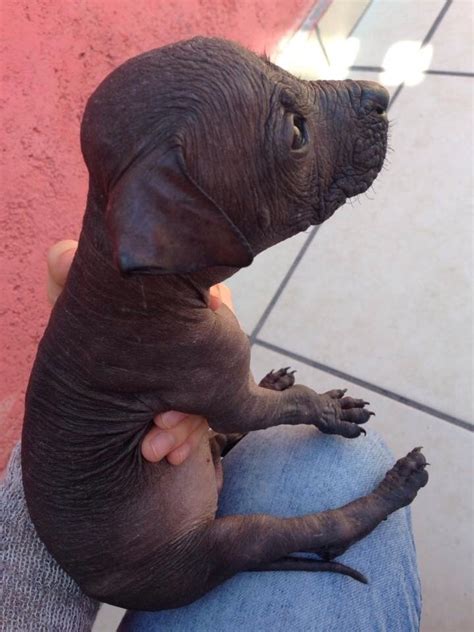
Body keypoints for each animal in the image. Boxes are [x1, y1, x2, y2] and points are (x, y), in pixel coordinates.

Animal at [21, 37, 430, 608]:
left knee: (226, 439)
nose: (379, 95)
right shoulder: (219, 388)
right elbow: (292, 406)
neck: (143, 289)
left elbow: (266, 407)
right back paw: (394, 487)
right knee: (318, 532)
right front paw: (326, 408)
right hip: (227, 541)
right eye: (296, 132)